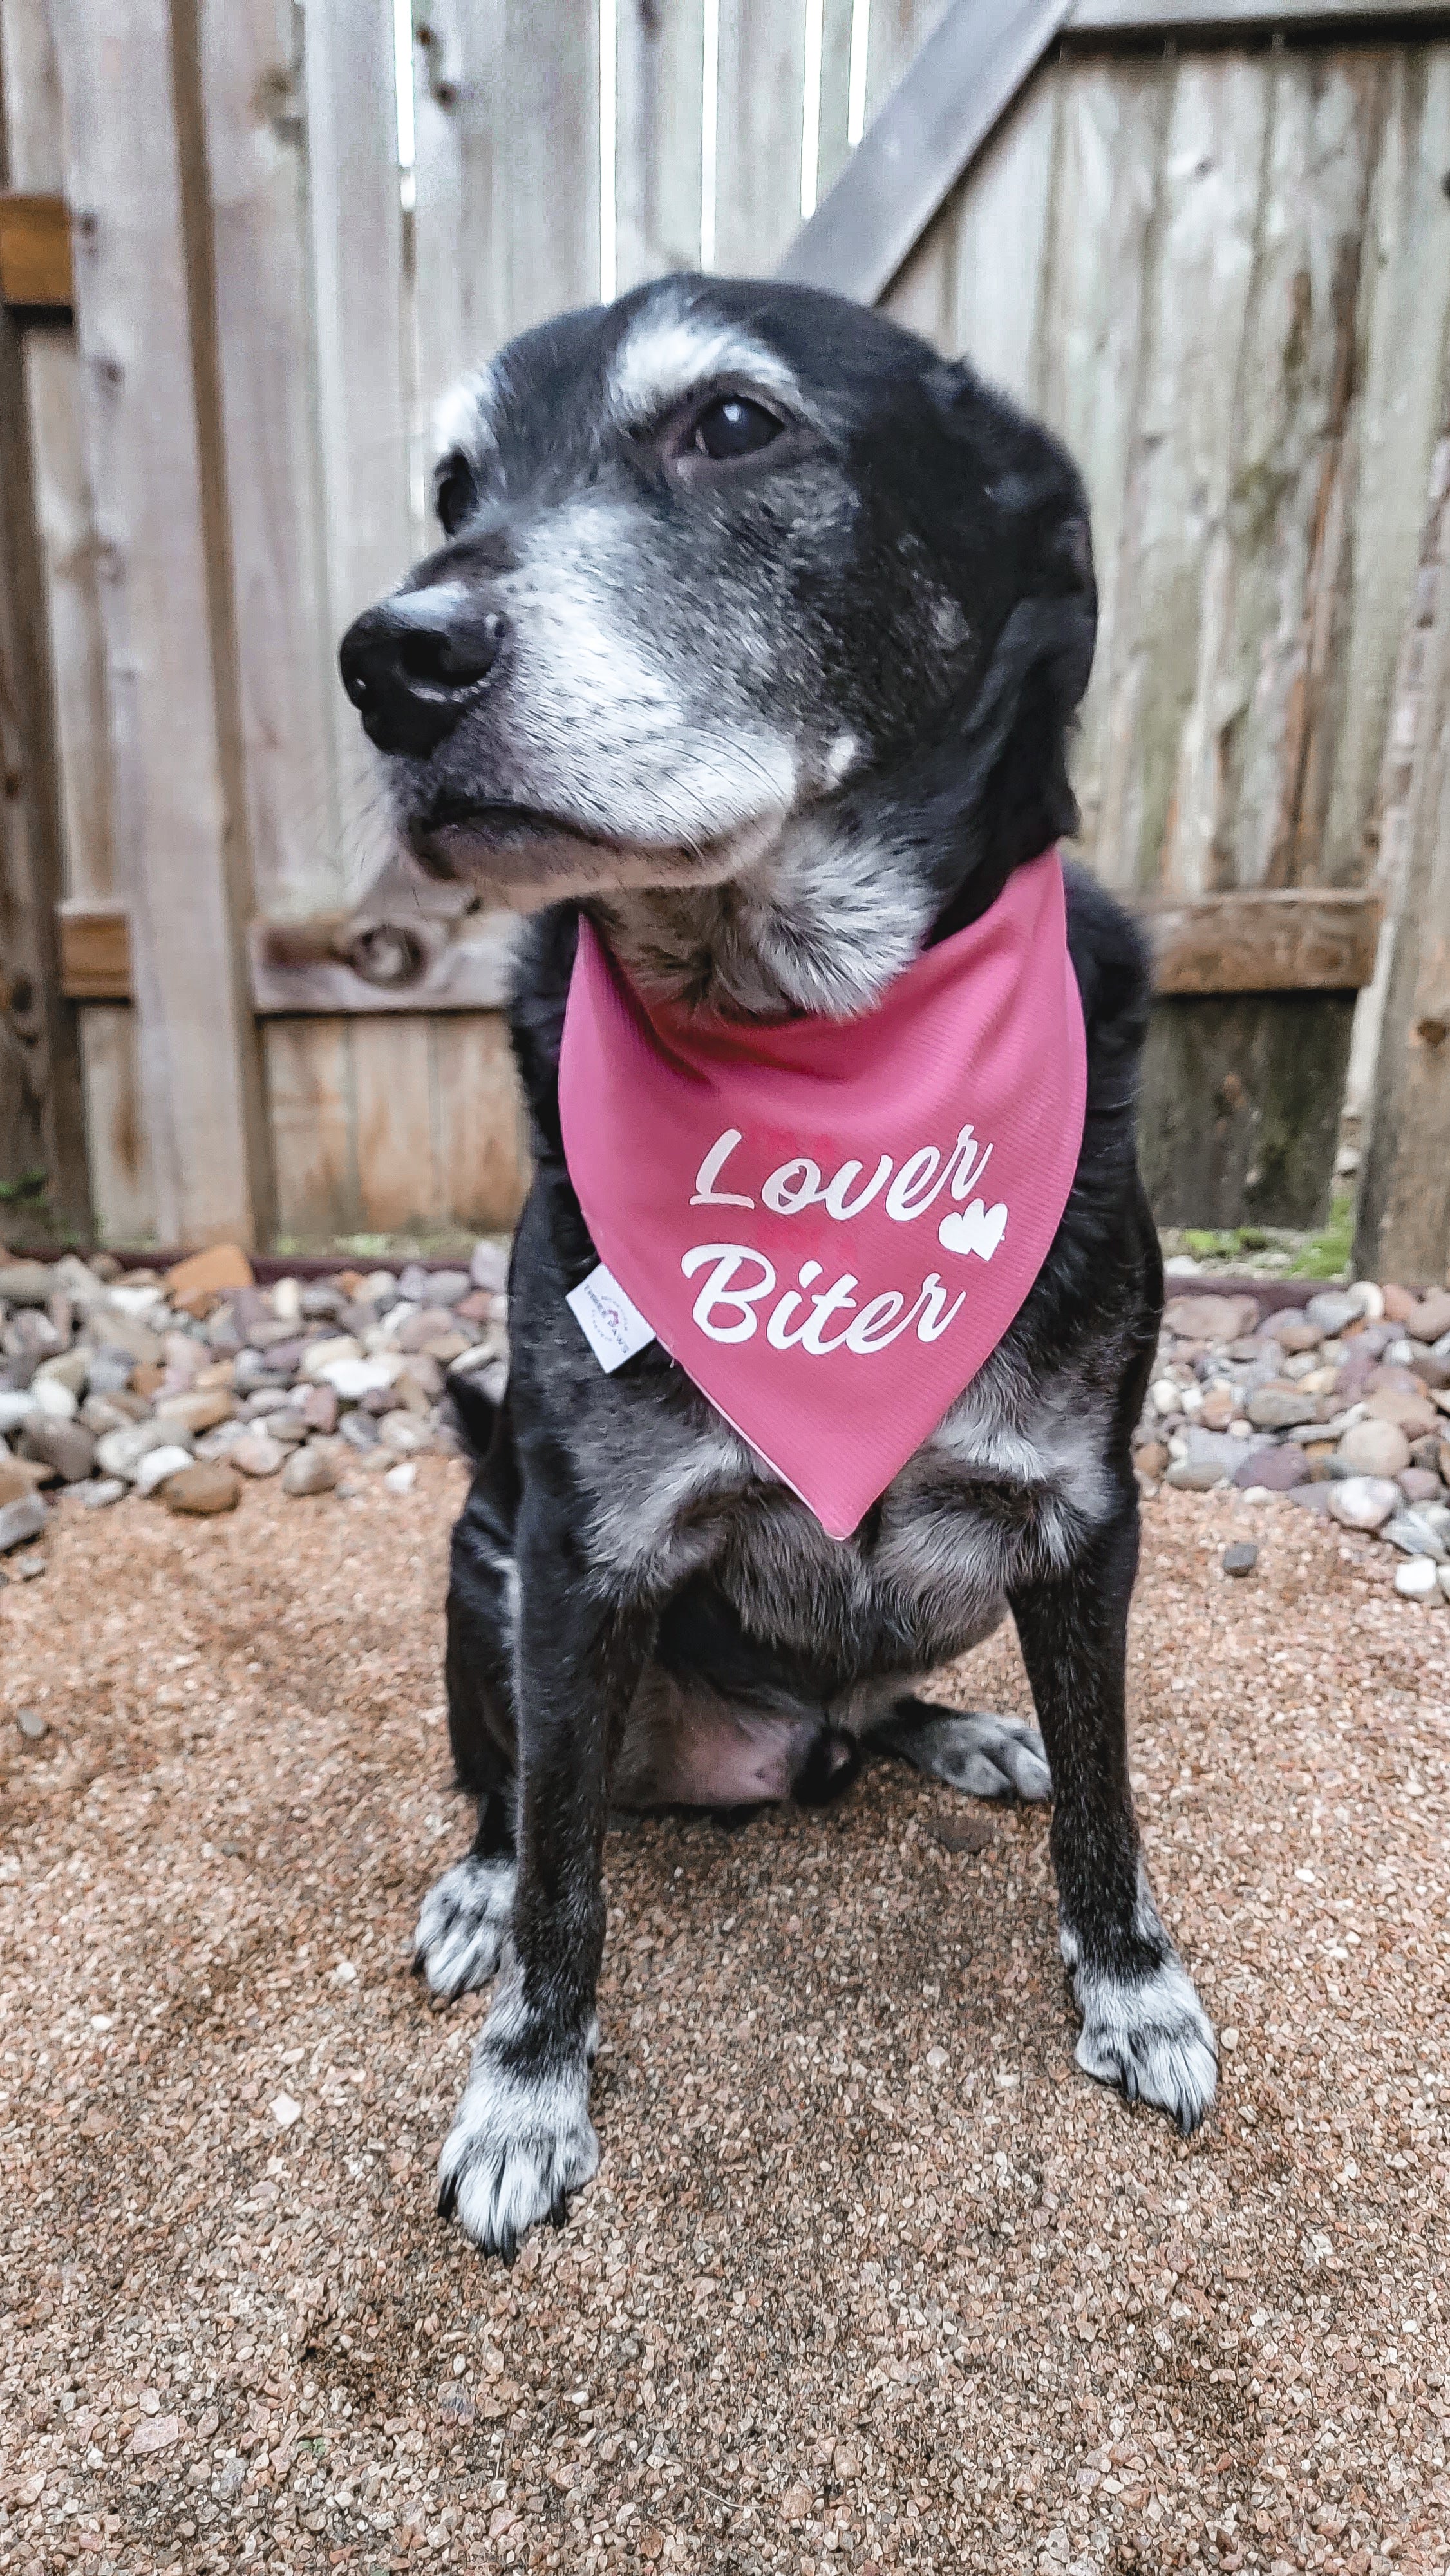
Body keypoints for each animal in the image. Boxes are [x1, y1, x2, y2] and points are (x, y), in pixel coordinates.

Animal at [337, 277, 1216, 2257]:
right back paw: (476, 1882)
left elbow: (1108, 1798)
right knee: (512, 1789)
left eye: (731, 425)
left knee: (877, 1707)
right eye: (450, 486)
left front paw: (1130, 1985)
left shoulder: (1083, 1515)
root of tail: (769, 1744)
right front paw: (526, 2091)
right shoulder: (574, 1556)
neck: (811, 1044)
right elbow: (570, 1878)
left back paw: (953, 1735)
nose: (388, 657)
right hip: (479, 1555)